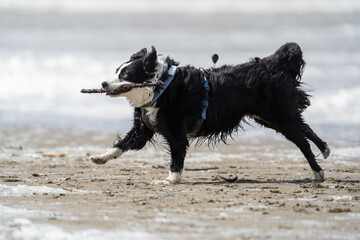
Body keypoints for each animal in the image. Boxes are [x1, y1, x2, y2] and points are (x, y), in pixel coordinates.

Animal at [89, 43, 330, 185]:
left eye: (125, 75)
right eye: (116, 71)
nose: (103, 83)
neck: (162, 87)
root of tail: (271, 64)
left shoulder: (176, 132)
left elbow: (176, 155)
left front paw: (170, 180)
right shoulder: (144, 127)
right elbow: (122, 145)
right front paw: (100, 157)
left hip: (277, 116)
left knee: (302, 141)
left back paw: (318, 172)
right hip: (271, 117)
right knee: (305, 128)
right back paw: (325, 149)